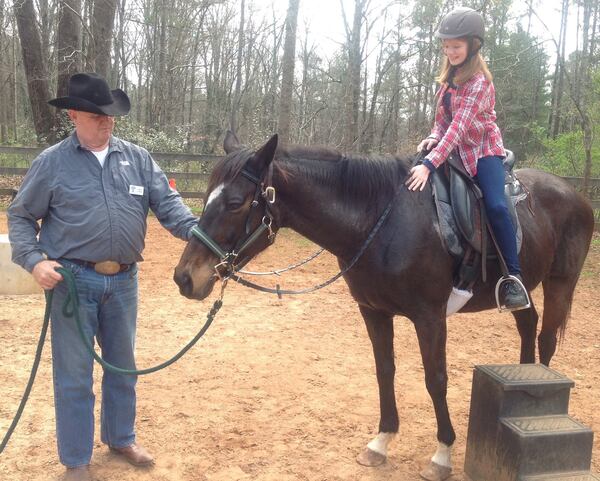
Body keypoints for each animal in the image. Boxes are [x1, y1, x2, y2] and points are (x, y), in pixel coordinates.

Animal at [173, 132, 596, 480]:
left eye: (235, 202)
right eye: (208, 196)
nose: (185, 278)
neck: (379, 220)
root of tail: (574, 194)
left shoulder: (429, 317)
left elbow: (435, 379)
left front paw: (442, 454)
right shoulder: (373, 311)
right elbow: (384, 371)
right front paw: (381, 442)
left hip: (560, 283)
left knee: (546, 337)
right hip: (520, 286)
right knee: (528, 324)